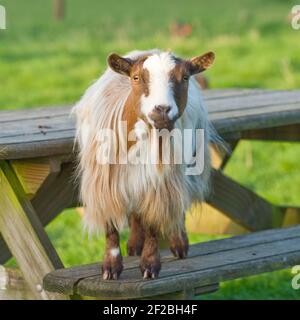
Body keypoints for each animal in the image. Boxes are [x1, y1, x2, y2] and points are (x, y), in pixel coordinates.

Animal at [73, 49, 218, 280]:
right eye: (136, 77)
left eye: (185, 77)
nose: (162, 110)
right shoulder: (104, 183)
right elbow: (111, 226)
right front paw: (110, 268)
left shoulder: (158, 183)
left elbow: (153, 223)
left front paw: (150, 266)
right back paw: (134, 245)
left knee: (179, 203)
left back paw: (179, 244)